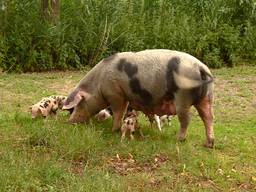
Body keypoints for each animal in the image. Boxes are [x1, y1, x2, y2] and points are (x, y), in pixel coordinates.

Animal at [63, 49, 215, 147]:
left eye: (77, 105)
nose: (69, 122)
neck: (98, 85)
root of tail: (201, 68)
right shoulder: (124, 96)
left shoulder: (115, 94)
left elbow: (118, 112)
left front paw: (113, 130)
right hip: (207, 97)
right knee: (208, 117)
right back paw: (209, 144)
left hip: (183, 96)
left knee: (186, 119)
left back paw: (179, 139)